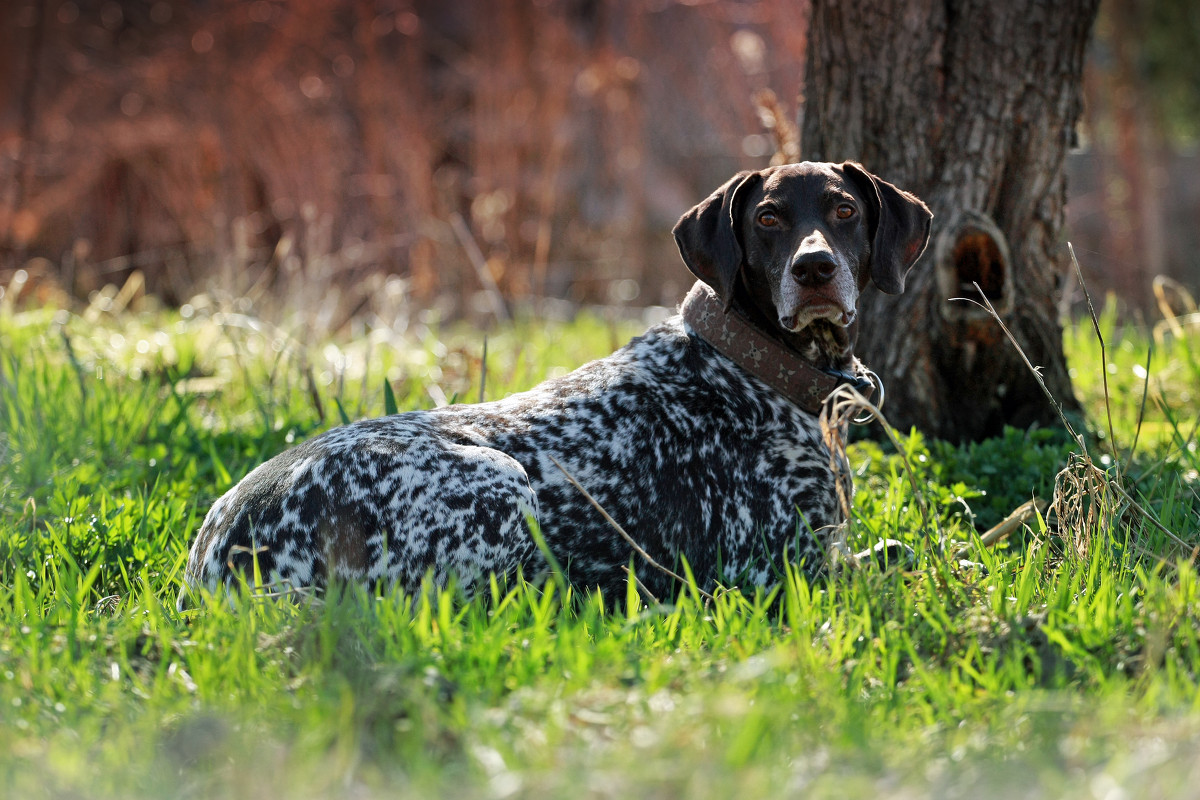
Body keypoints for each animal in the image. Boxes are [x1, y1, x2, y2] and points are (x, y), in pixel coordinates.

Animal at [177, 160, 931, 606]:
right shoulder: (779, 572)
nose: (814, 270)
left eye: (844, 211)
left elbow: (901, 548)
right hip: (498, 479)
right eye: (768, 218)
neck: (756, 366)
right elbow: (895, 560)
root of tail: (212, 560)